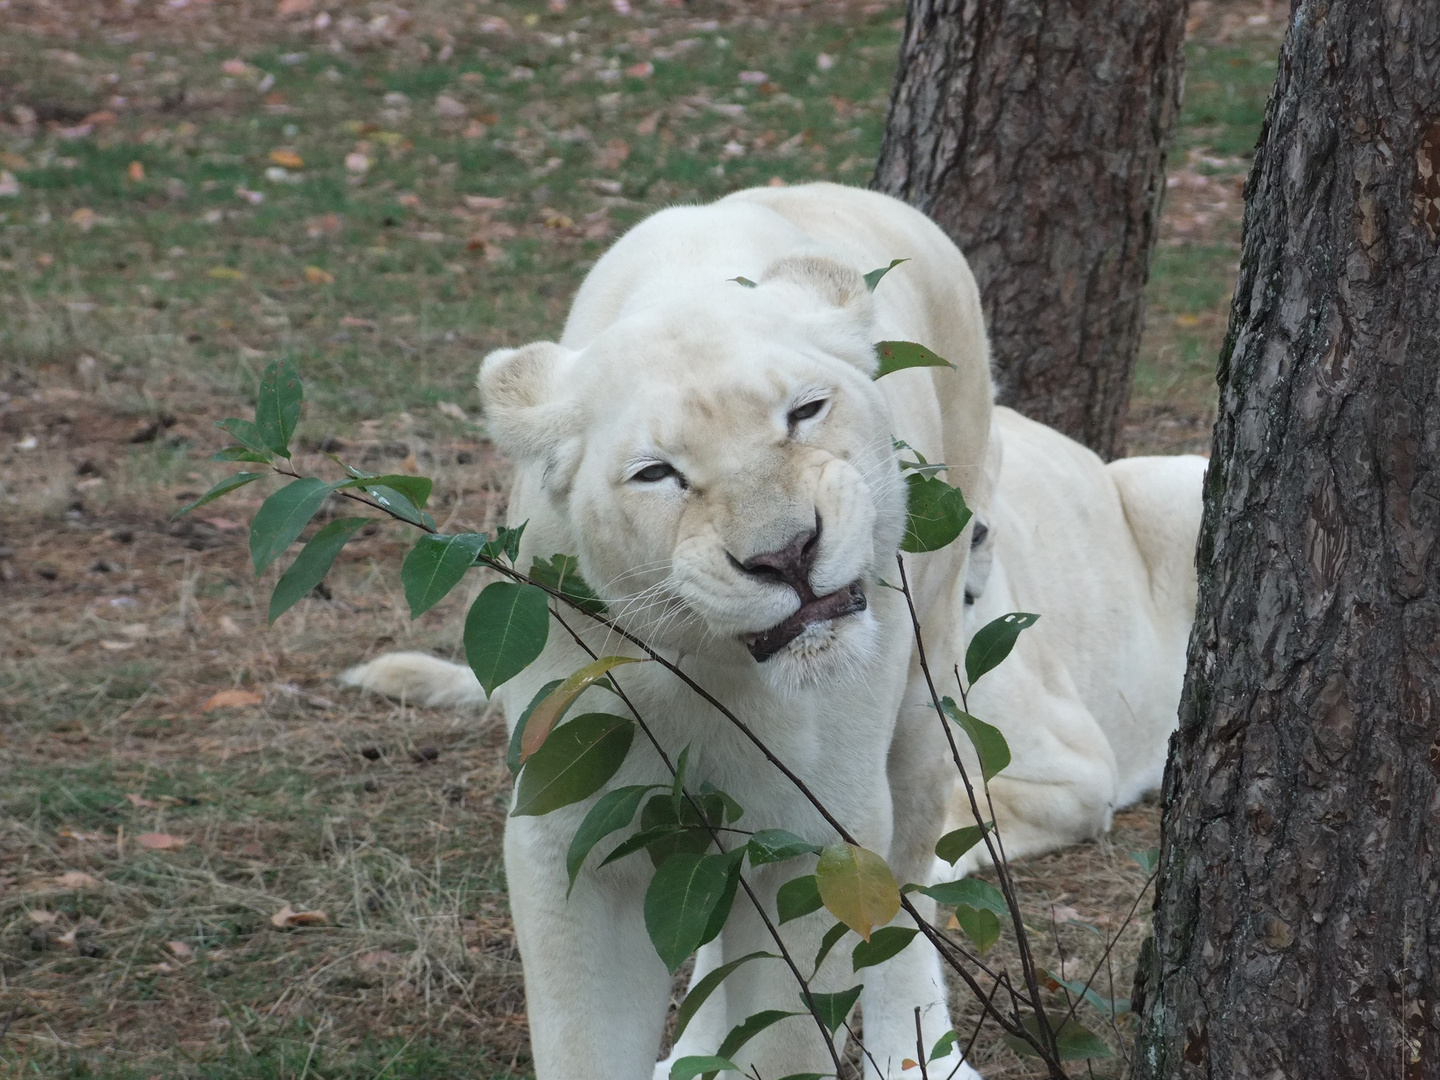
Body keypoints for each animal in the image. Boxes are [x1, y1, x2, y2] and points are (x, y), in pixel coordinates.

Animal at [344, 182, 996, 1077]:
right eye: (657, 473)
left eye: (805, 411)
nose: (787, 555)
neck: (713, 666)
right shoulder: (572, 829)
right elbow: (589, 1040)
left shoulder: (816, 837)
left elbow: (788, 1035)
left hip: (922, 717)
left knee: (901, 905)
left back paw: (920, 1056)